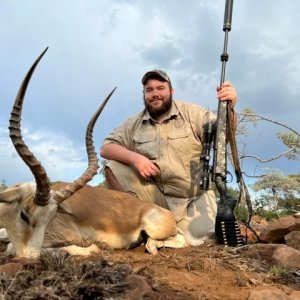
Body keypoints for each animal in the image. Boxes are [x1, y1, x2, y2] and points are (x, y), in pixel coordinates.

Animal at [0, 48, 186, 258]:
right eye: (23, 215)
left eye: (48, 217)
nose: (30, 258)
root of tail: (164, 212)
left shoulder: (67, 236)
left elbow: (11, 247)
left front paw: (92, 248)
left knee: (177, 240)